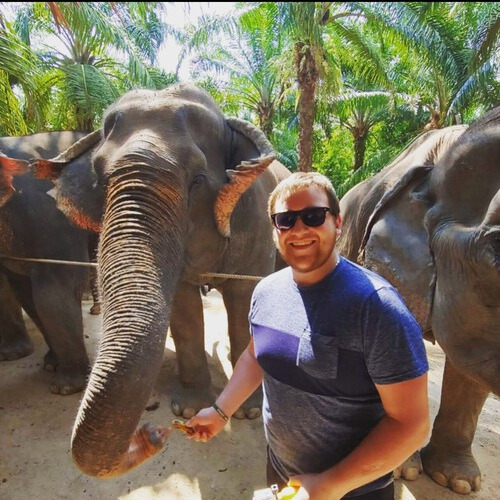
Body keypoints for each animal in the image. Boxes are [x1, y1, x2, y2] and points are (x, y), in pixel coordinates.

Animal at [31, 82, 291, 477]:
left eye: (197, 180)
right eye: (100, 179)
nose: (152, 432)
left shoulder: (255, 220)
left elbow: (245, 296)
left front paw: (247, 412)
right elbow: (183, 305)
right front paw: (189, 408)